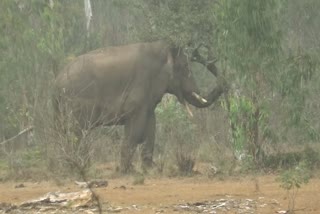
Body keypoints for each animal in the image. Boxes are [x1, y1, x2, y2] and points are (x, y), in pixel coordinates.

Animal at [53, 40, 228, 174]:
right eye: (185, 67)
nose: (225, 85)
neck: (161, 48)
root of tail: (56, 83)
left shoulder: (148, 101)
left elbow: (151, 127)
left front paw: (150, 169)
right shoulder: (138, 92)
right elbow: (136, 131)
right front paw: (127, 171)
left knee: (65, 134)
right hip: (75, 102)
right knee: (76, 134)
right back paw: (81, 167)